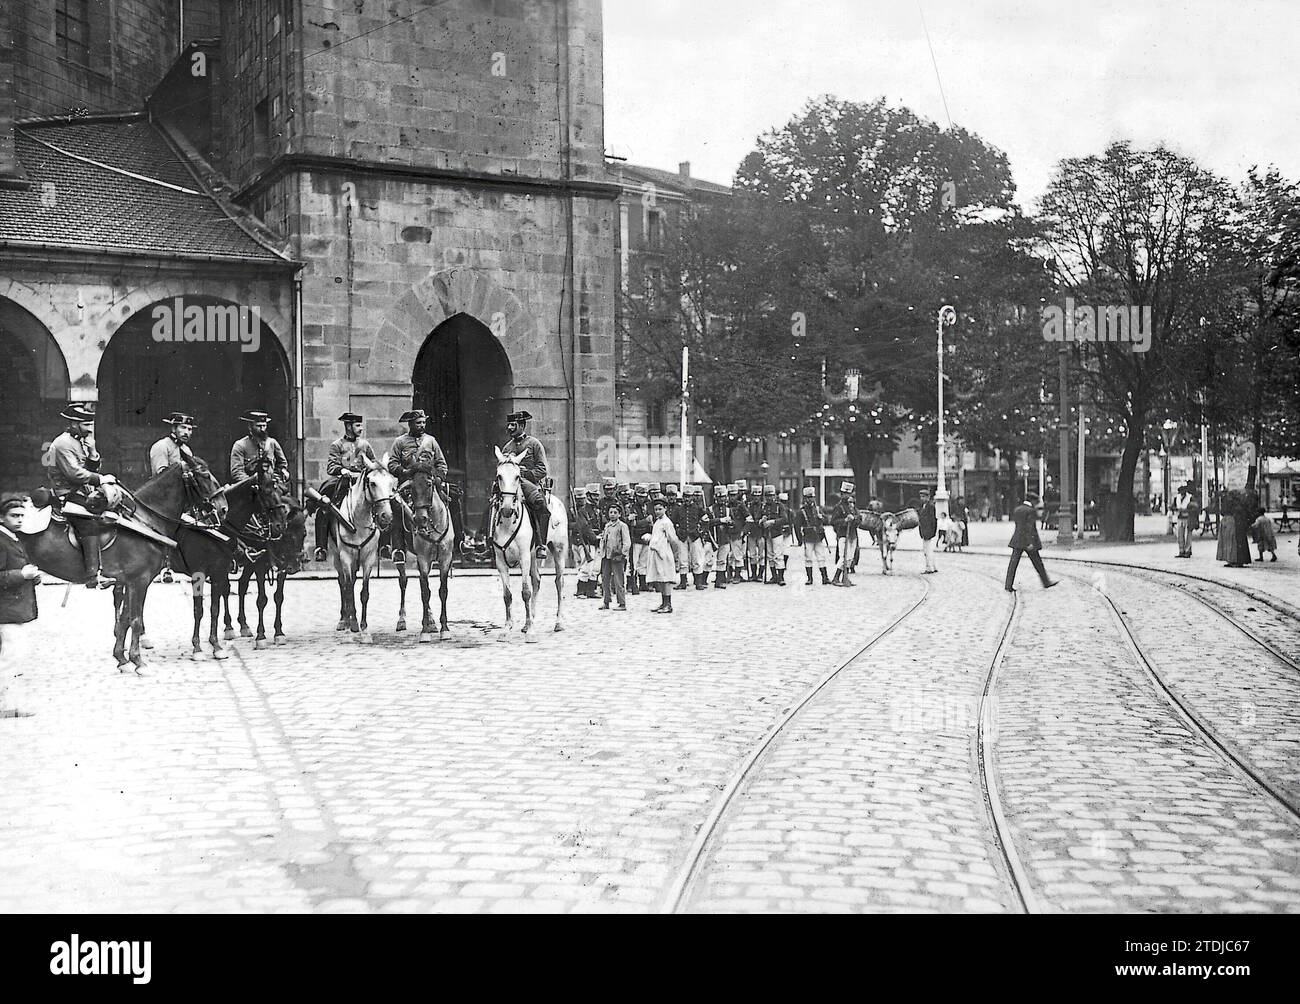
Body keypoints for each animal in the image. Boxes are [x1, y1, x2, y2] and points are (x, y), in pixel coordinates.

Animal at [21, 460, 226, 665]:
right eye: (204, 474)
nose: (223, 507)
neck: (145, 522)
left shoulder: (130, 581)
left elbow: (125, 618)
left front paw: (122, 658)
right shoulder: (140, 581)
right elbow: (135, 619)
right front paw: (137, 661)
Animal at [330, 452, 395, 642]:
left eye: (391, 483)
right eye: (372, 483)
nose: (386, 516)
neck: (358, 521)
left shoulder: (369, 558)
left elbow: (364, 593)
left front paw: (364, 629)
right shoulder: (345, 557)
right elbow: (348, 589)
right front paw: (352, 626)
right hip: (336, 557)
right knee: (342, 583)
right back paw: (343, 620)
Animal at [488, 447, 569, 642]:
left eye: (518, 476)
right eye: (499, 476)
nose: (507, 508)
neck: (508, 524)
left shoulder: (524, 557)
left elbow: (525, 592)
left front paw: (531, 632)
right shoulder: (500, 562)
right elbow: (507, 595)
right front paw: (507, 628)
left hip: (558, 550)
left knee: (559, 582)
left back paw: (558, 622)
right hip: (533, 556)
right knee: (537, 580)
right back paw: (528, 622)